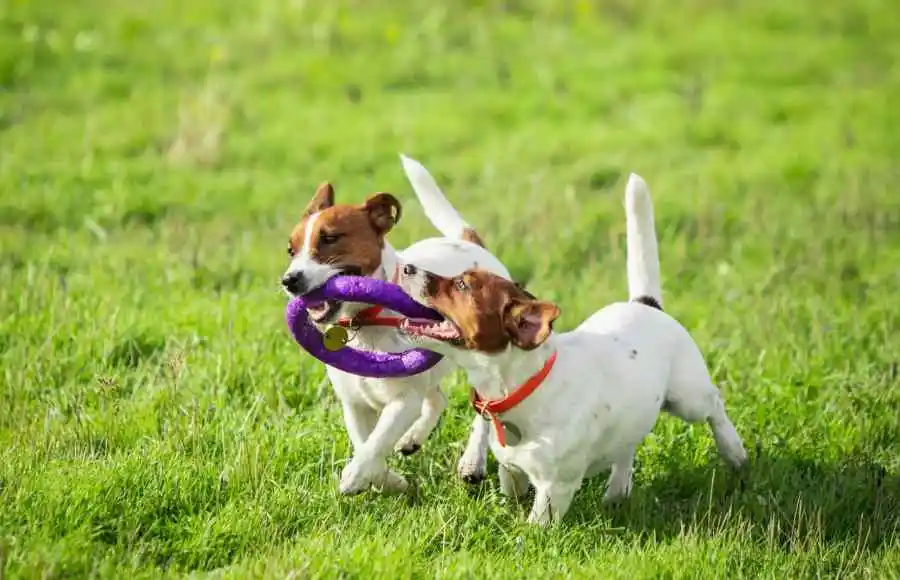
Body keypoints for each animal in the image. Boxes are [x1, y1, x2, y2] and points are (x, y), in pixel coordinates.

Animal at [282, 154, 510, 494]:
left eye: (330, 238)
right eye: (291, 250)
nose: (289, 280)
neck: (366, 322)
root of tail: (470, 244)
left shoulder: (403, 401)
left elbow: (376, 442)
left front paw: (355, 476)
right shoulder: (354, 403)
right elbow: (365, 443)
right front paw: (388, 480)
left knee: (483, 412)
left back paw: (472, 462)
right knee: (437, 399)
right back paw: (413, 439)